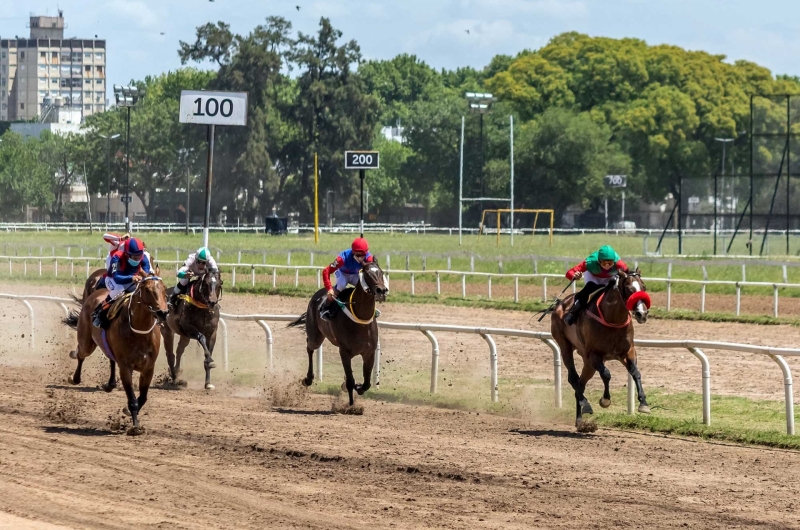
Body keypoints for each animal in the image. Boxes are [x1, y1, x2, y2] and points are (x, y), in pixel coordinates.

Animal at [63, 272, 169, 434]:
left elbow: (143, 397)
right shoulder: (125, 367)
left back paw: (110, 384)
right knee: (81, 354)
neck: (140, 332)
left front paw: (128, 413)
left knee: (110, 358)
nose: (163, 312)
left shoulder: (148, 367)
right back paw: (74, 376)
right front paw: (135, 427)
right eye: (147, 289)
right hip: (87, 342)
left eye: (164, 288)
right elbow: (132, 400)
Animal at [288, 260, 388, 404]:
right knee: (309, 347)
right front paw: (351, 404)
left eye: (381, 272)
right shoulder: (344, 351)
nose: (382, 290)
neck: (360, 320)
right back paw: (308, 379)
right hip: (315, 337)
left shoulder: (369, 352)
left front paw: (358, 387)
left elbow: (366, 383)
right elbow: (350, 381)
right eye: (368, 274)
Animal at [552, 268, 652, 428]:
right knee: (573, 378)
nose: (642, 314)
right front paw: (605, 400)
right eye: (629, 289)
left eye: (644, 287)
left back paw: (580, 420)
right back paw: (586, 405)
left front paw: (643, 403)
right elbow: (606, 374)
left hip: (587, 363)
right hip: (565, 346)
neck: (613, 320)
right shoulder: (594, 355)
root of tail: (560, 304)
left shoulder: (628, 352)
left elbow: (636, 373)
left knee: (581, 383)